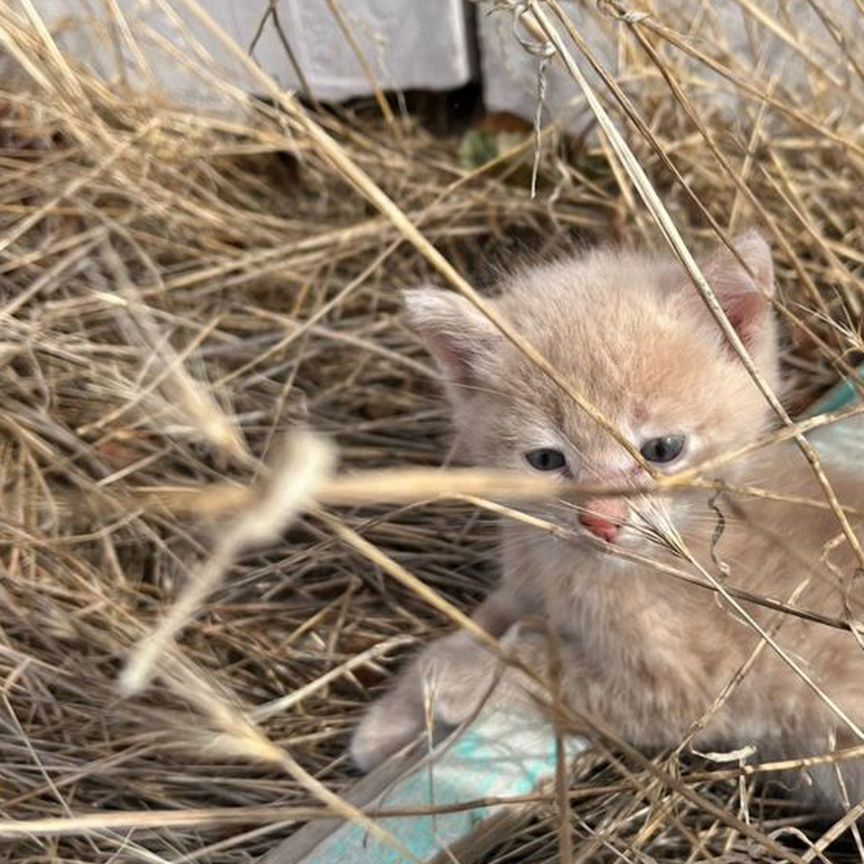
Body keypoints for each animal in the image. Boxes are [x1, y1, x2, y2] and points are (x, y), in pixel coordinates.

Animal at [350, 235, 864, 808]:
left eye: (662, 450)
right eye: (545, 460)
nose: (600, 521)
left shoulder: (689, 691)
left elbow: (539, 664)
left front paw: (457, 678)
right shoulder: (529, 581)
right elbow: (482, 620)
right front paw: (391, 718)